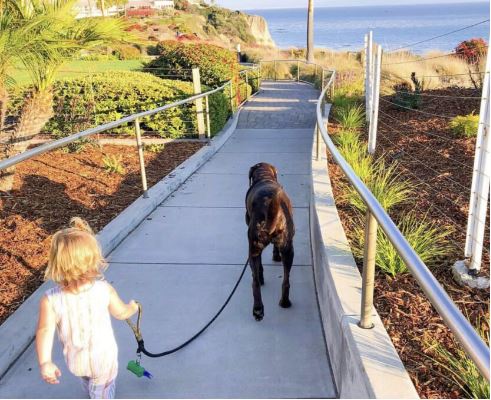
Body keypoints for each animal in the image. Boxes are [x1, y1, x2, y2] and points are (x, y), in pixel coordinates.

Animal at [246, 162, 296, 322]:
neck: (264, 177)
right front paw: (275, 256)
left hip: (253, 250)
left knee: (255, 281)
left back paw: (257, 309)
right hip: (289, 250)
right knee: (286, 281)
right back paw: (284, 302)